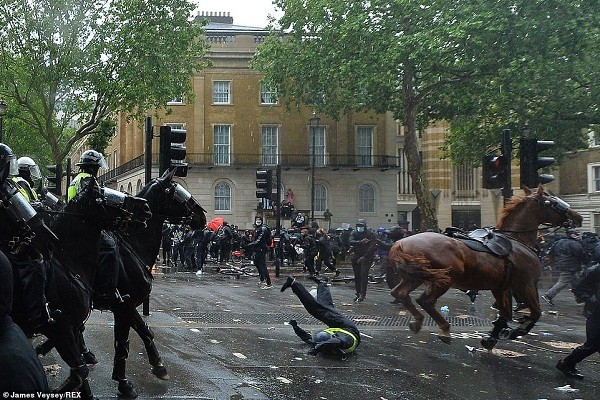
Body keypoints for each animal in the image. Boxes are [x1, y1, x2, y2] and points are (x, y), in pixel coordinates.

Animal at [390, 186, 580, 348]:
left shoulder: (500, 287)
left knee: (400, 293)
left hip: (415, 277)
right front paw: (516, 331)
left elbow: (505, 313)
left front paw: (491, 338)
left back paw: (418, 320)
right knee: (425, 300)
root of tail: (400, 244)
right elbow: (535, 312)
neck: (517, 240)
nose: (578, 217)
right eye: (553, 203)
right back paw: (444, 329)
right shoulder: (526, 285)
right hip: (443, 279)